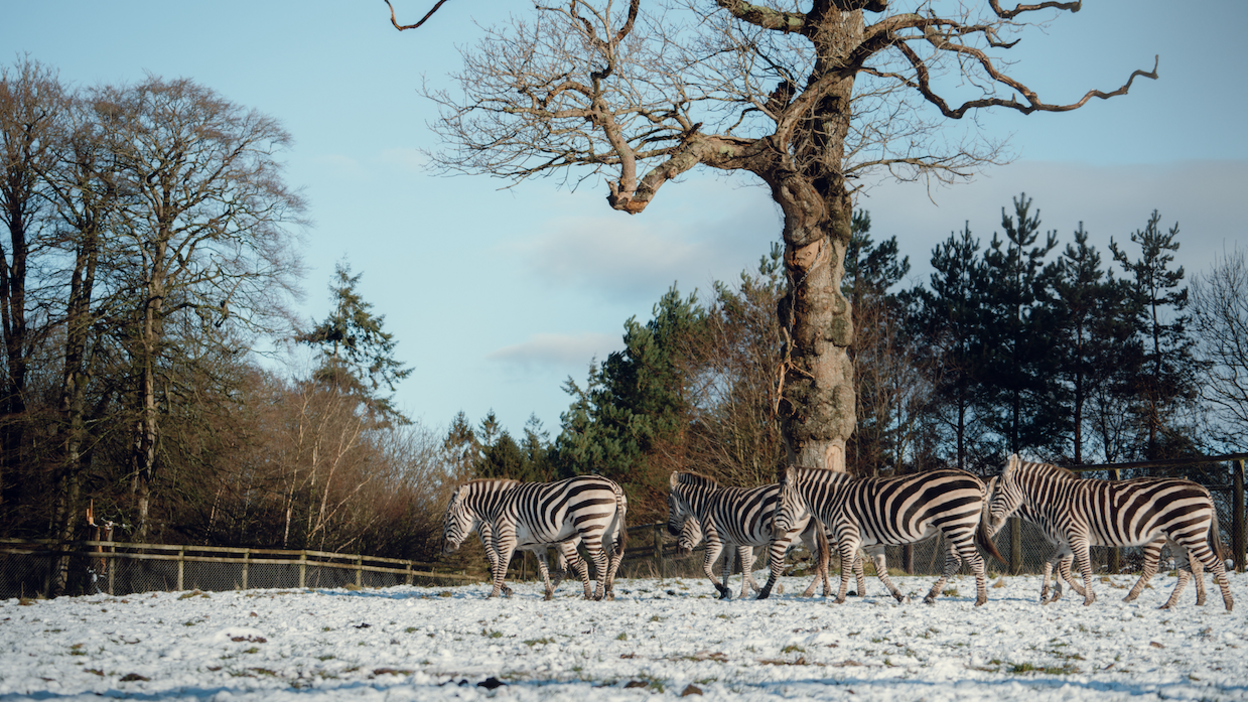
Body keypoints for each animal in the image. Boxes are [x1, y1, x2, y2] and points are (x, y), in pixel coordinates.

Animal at [444, 474, 628, 594]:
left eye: (449, 517)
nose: (445, 549)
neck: (497, 505)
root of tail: (613, 485)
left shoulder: (505, 540)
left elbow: (500, 566)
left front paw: (497, 592)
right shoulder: (535, 545)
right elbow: (542, 567)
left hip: (588, 528)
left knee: (598, 560)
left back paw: (597, 594)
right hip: (609, 531)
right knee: (614, 555)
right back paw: (607, 588)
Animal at [663, 469, 838, 594]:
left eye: (669, 503)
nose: (670, 531)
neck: (706, 505)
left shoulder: (721, 540)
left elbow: (712, 566)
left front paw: (732, 590)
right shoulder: (733, 543)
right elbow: (730, 567)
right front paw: (730, 592)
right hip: (808, 534)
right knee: (822, 559)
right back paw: (820, 590)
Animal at [748, 464, 1003, 602]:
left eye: (779, 500)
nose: (773, 529)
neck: (833, 500)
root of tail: (978, 481)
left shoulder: (847, 534)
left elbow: (846, 567)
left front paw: (839, 598)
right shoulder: (870, 542)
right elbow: (879, 571)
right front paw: (899, 596)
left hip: (958, 525)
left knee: (976, 561)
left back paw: (980, 600)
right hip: (953, 528)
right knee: (954, 562)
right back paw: (931, 595)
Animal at [988, 454, 1233, 607]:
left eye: (997, 490)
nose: (990, 522)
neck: (1054, 501)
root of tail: (1202, 488)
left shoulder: (1076, 536)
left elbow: (1080, 569)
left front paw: (1087, 598)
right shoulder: (1066, 540)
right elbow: (1052, 564)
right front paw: (1048, 593)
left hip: (1186, 534)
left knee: (1211, 563)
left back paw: (1227, 603)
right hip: (1177, 537)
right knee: (1186, 569)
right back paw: (1174, 602)